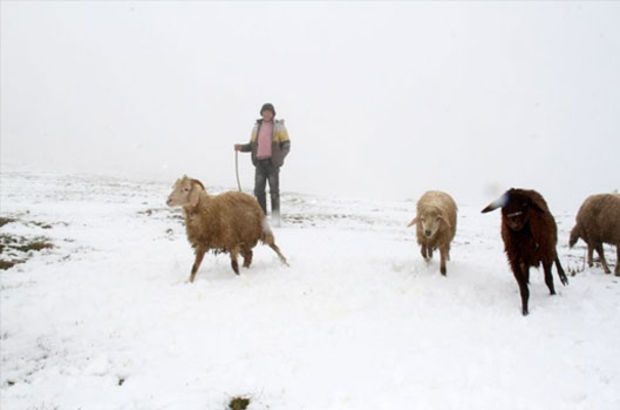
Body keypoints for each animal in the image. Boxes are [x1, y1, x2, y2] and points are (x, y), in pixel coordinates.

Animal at [482, 187, 568, 316]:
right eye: (503, 204)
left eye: (524, 204)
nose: (513, 221)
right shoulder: (514, 261)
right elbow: (524, 289)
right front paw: (525, 311)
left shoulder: (546, 255)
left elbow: (548, 279)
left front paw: (553, 295)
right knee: (527, 272)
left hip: (550, 245)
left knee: (555, 255)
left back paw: (563, 277)